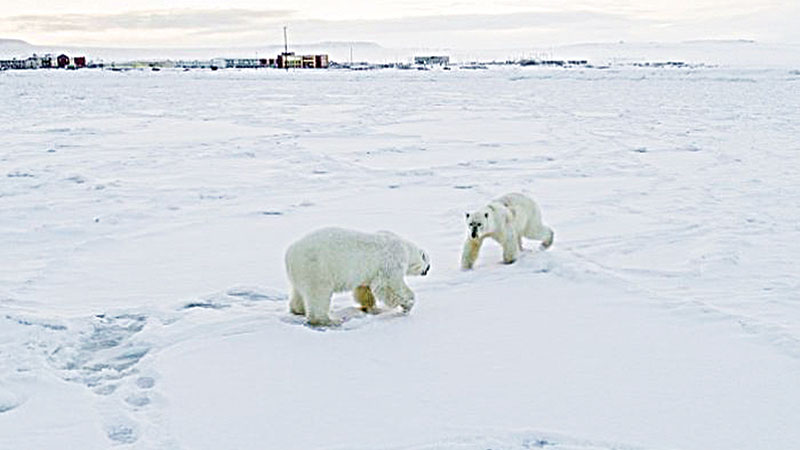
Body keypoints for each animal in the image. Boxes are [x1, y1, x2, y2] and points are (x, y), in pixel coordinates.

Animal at [285, 227, 430, 326]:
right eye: (428, 265)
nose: (427, 270)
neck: (406, 248)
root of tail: (289, 254)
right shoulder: (392, 260)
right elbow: (389, 285)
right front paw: (408, 304)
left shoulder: (369, 272)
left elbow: (364, 287)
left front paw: (371, 307)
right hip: (317, 268)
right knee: (319, 294)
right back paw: (329, 320)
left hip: (302, 273)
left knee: (299, 292)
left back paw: (298, 310)